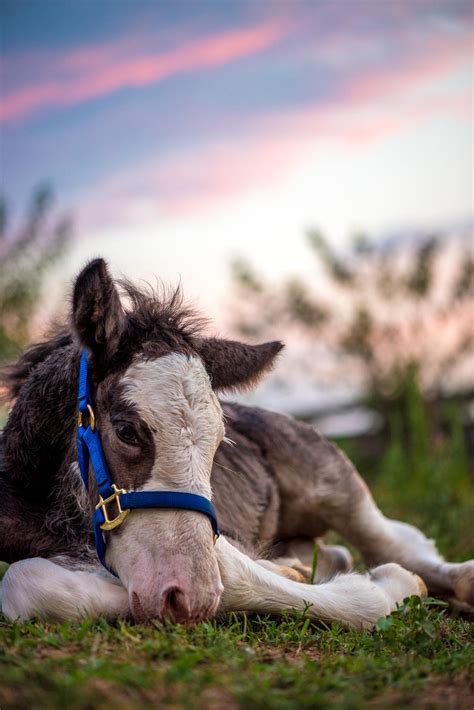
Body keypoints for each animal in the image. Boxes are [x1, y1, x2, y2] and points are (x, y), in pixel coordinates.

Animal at [0, 260, 472, 628]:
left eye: (218, 442)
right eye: (126, 430)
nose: (185, 596)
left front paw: (386, 585)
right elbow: (28, 583)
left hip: (338, 484)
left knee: (395, 540)